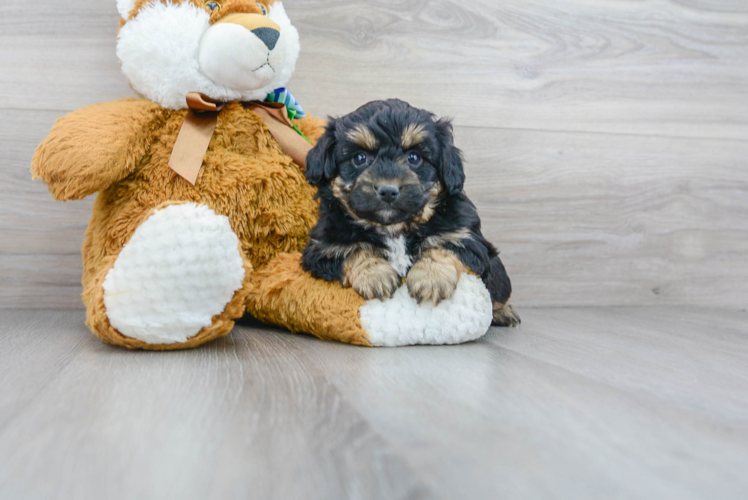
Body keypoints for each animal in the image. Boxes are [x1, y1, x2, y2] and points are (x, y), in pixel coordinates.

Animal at [302, 99, 520, 326]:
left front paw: (430, 279)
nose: (388, 190)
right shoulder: (324, 248)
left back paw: (504, 312)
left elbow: (442, 245)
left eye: (414, 157)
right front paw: (376, 275)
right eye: (359, 158)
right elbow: (354, 250)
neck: (394, 228)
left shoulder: (464, 237)